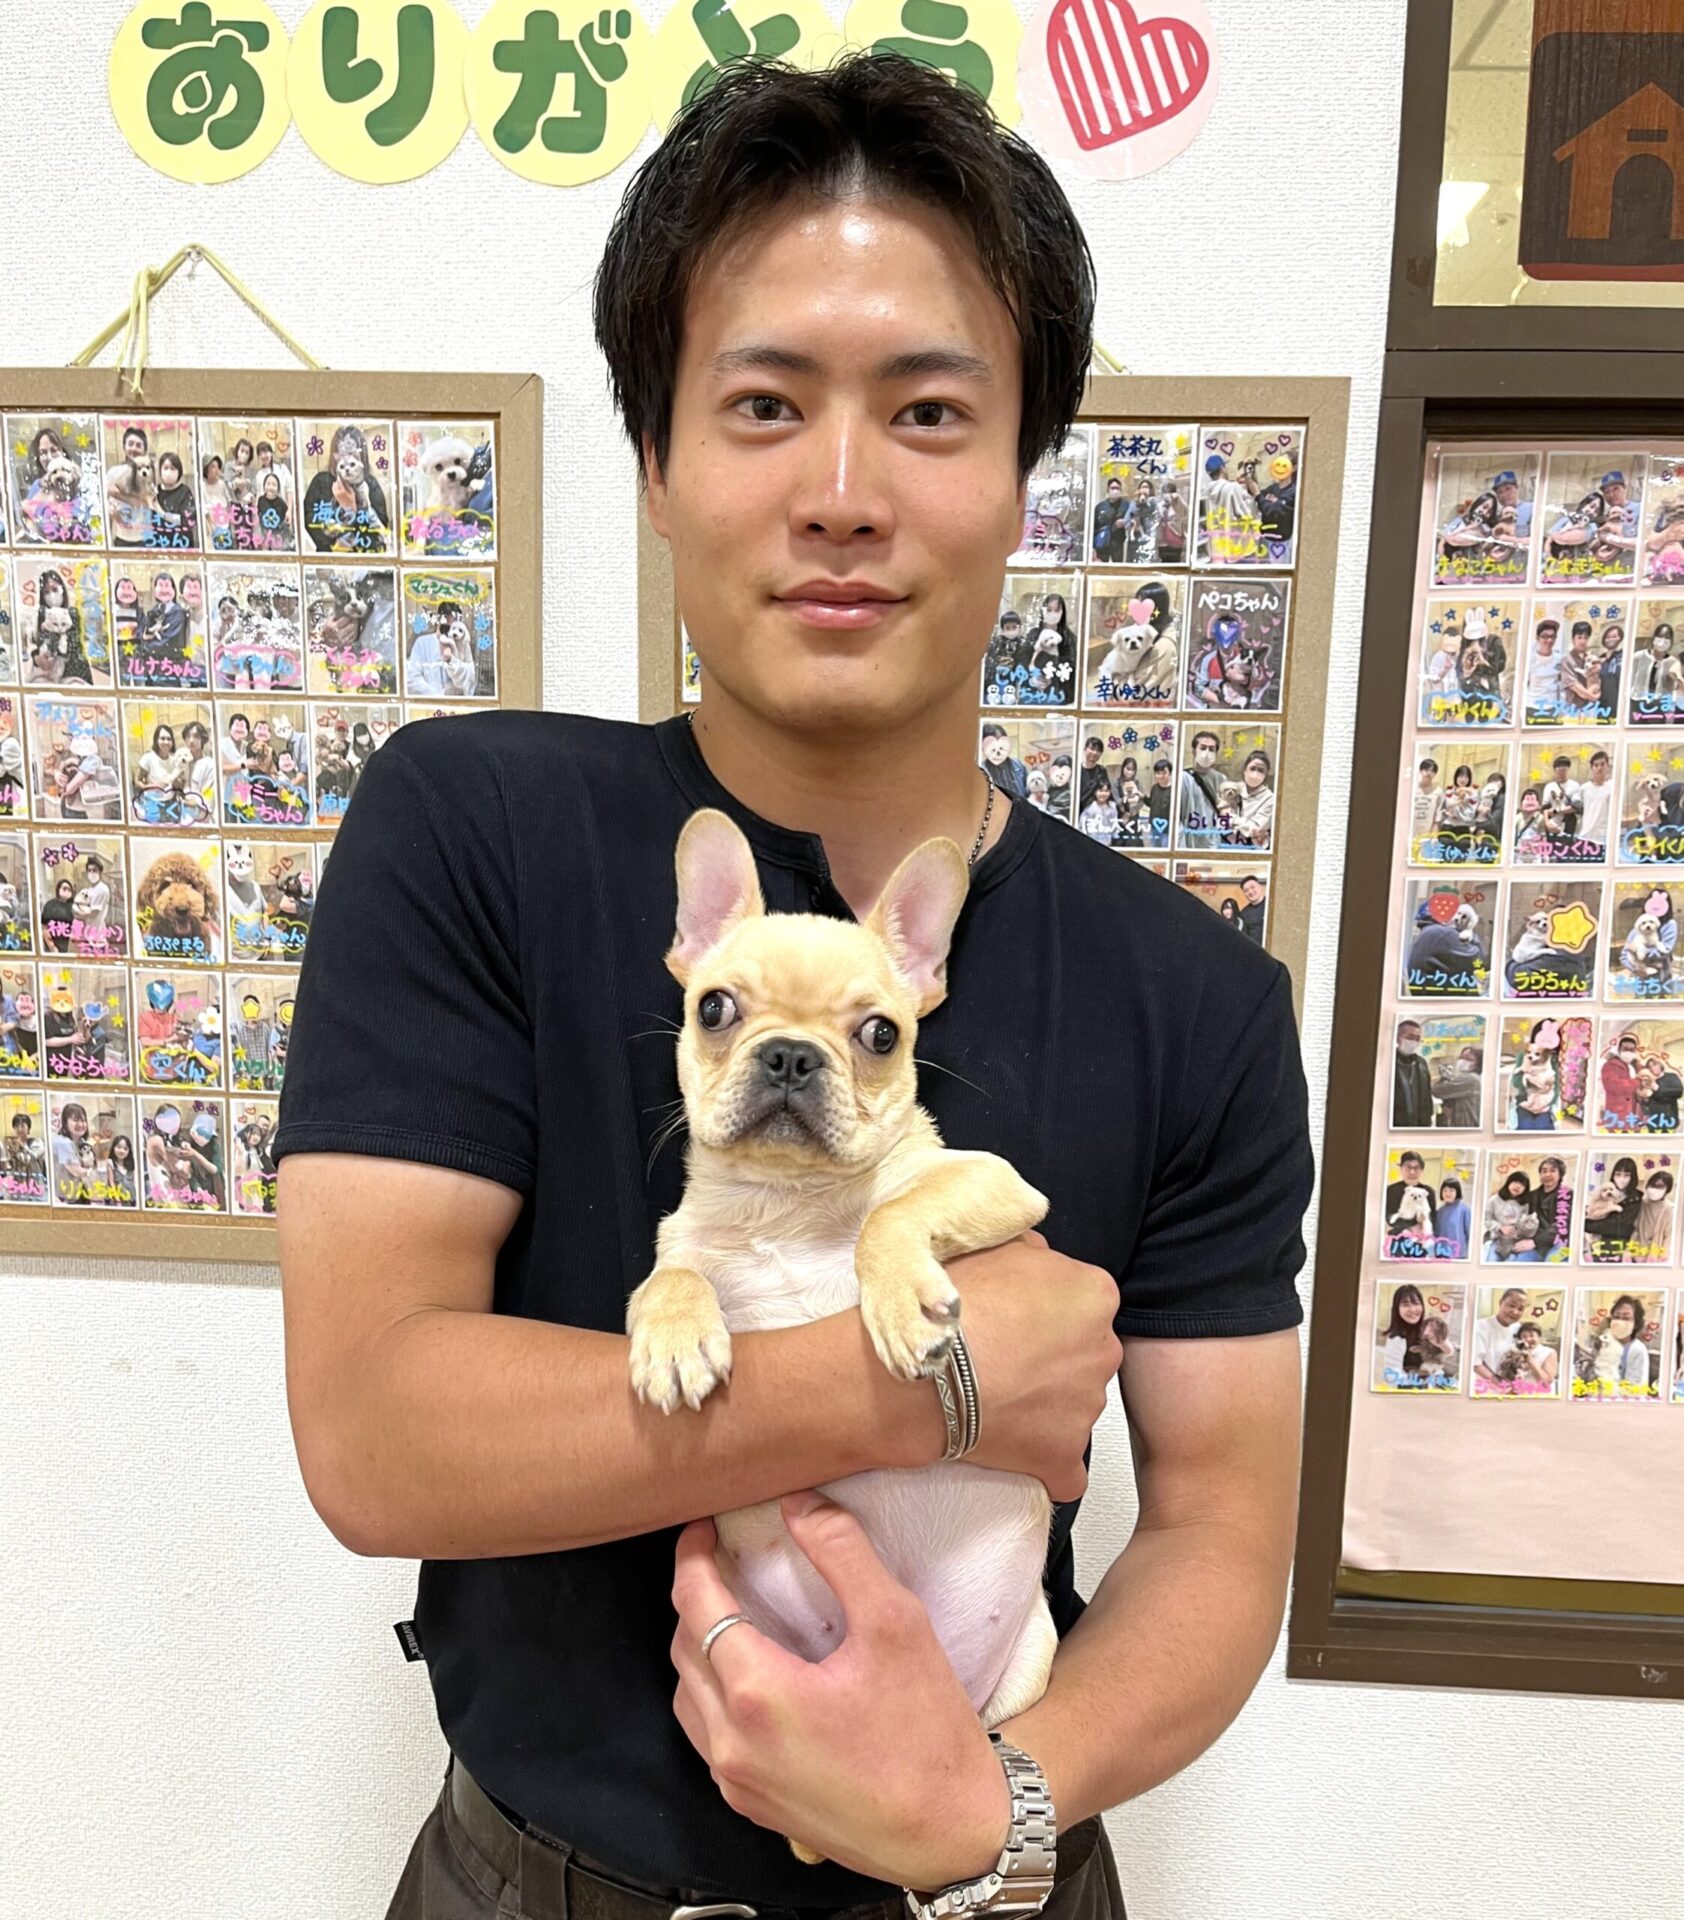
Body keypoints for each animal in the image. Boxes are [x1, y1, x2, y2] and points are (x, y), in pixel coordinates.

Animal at [627, 809, 1055, 1861]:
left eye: (879, 1034)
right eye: (715, 1009)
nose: (789, 1055)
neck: (788, 1204)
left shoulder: (996, 1183)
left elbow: (891, 1213)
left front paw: (900, 1301)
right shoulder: (680, 1242)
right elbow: (671, 1277)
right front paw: (674, 1339)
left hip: (1030, 1659)